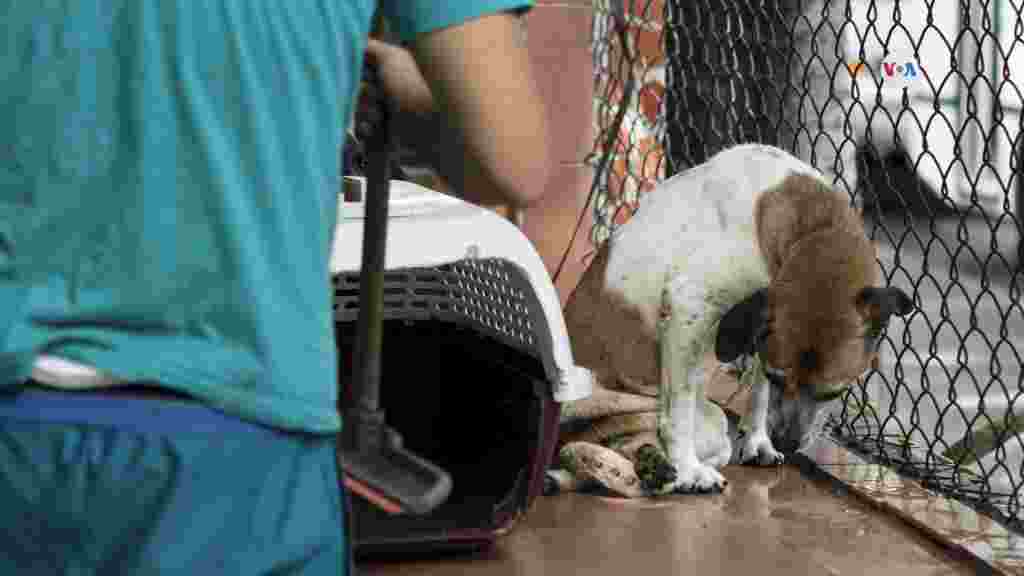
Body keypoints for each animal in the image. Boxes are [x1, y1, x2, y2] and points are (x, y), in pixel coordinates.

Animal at [544, 142, 913, 494]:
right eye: (780, 378)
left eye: (832, 393)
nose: (787, 443)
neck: (810, 227)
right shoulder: (688, 308)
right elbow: (678, 414)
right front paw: (688, 470)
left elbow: (759, 391)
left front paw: (757, 442)